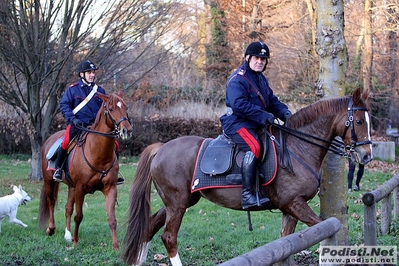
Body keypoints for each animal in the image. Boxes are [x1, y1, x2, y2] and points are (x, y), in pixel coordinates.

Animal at [37, 92, 132, 250]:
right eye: (111, 109)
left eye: (126, 107)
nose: (127, 130)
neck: (97, 153)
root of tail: (49, 140)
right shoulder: (80, 188)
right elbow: (79, 216)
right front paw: (75, 241)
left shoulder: (110, 188)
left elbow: (112, 218)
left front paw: (115, 246)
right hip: (50, 181)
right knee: (51, 202)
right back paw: (51, 229)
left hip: (71, 187)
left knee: (68, 208)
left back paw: (67, 235)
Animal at [122, 89, 376, 264]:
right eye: (359, 121)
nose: (367, 156)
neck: (298, 147)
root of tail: (161, 148)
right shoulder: (294, 203)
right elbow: (323, 230)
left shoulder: (290, 208)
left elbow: (286, 242)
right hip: (177, 203)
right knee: (168, 237)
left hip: (181, 201)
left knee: (150, 227)